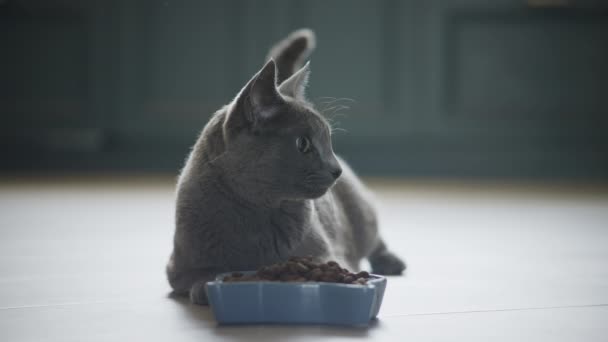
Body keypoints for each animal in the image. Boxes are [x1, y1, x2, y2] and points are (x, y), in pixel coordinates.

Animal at [167, 28, 404, 304]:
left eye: (328, 140)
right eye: (303, 144)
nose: (336, 170)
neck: (257, 210)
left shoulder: (327, 255)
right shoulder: (178, 267)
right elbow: (203, 274)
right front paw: (207, 286)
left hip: (360, 212)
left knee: (373, 236)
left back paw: (391, 262)